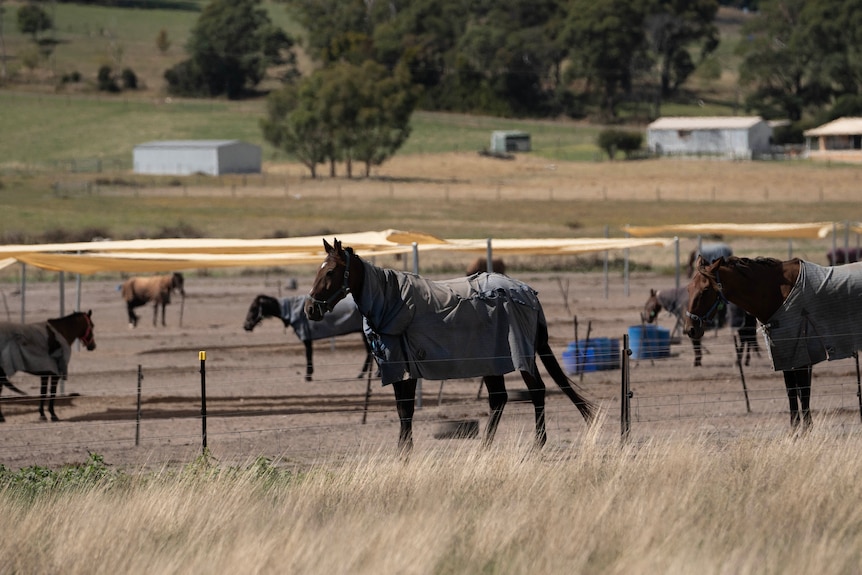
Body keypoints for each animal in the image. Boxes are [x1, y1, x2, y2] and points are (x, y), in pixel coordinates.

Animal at [241, 294, 372, 384]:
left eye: (253, 308)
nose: (246, 326)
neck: (294, 310)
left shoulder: (307, 339)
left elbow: (308, 356)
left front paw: (308, 376)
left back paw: (362, 373)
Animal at [308, 238, 596, 454]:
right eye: (318, 270)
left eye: (330, 272)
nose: (310, 309)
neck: (391, 301)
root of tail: (529, 294)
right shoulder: (397, 366)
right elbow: (402, 410)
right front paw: (403, 451)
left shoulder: (407, 367)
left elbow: (406, 409)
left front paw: (405, 453)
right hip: (493, 361)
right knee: (499, 399)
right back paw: (485, 447)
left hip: (520, 355)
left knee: (536, 390)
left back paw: (537, 444)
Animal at [684, 256, 862, 432]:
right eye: (689, 289)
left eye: (705, 290)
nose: (690, 329)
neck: (778, 293)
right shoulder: (786, 357)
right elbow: (792, 391)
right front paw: (795, 431)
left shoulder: (801, 358)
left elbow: (803, 392)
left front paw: (806, 430)